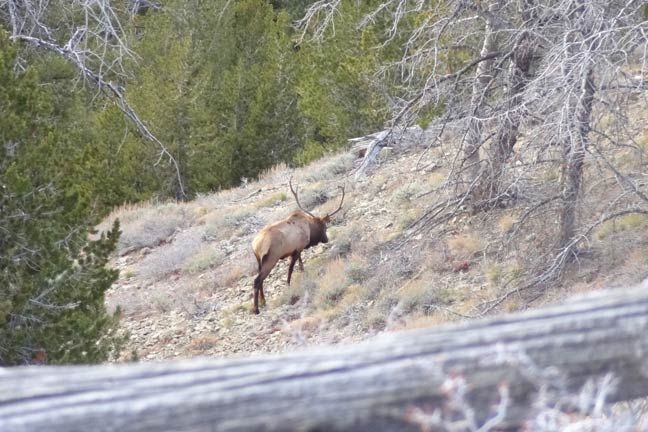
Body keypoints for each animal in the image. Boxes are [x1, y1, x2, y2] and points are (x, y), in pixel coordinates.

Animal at [251, 177, 345, 314]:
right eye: (324, 227)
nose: (326, 239)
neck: (309, 229)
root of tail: (256, 245)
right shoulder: (297, 249)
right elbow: (291, 269)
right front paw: (288, 286)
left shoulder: (297, 250)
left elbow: (300, 264)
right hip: (271, 258)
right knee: (257, 280)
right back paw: (256, 309)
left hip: (259, 260)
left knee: (261, 279)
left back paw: (263, 302)